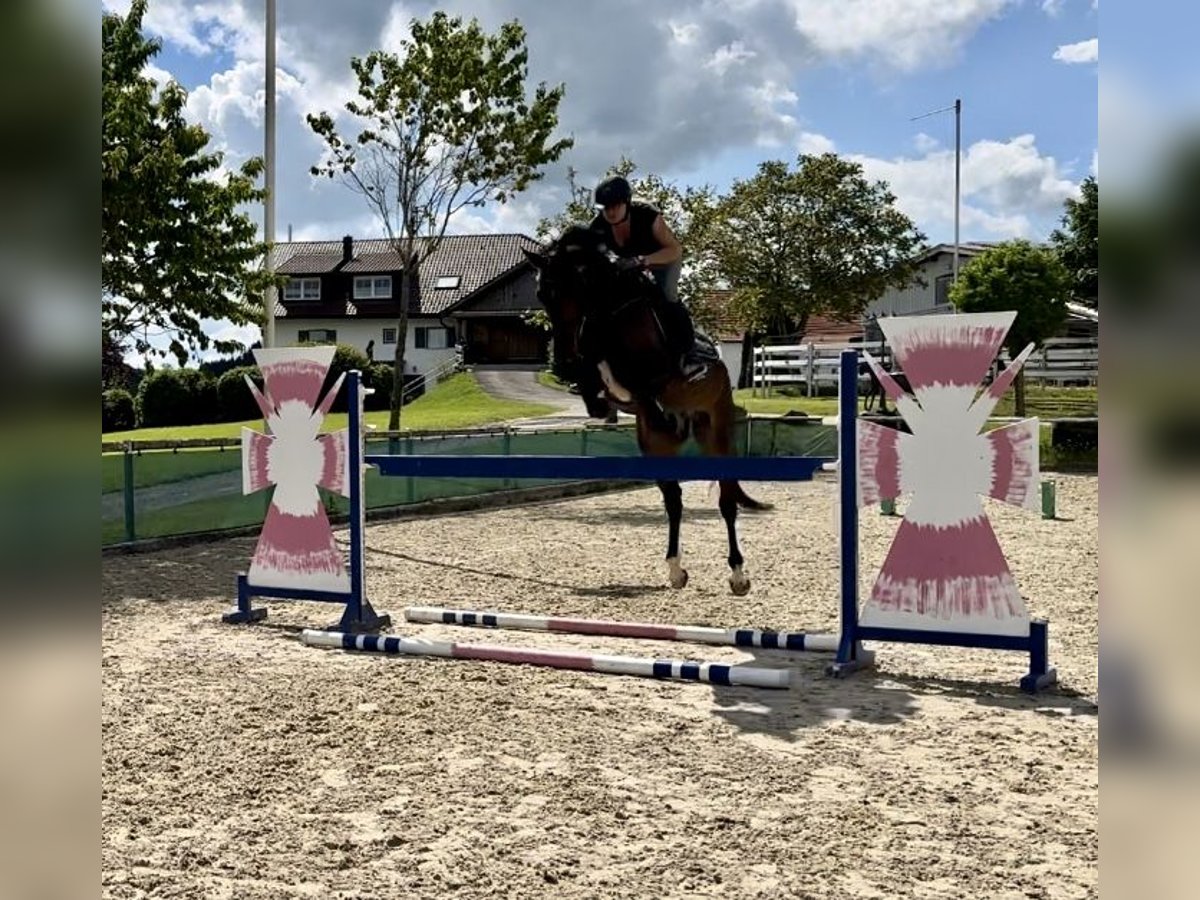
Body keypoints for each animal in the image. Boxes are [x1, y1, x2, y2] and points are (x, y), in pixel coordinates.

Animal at [523, 224, 768, 600]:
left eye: (572, 288)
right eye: (542, 294)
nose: (561, 359)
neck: (606, 312)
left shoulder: (652, 375)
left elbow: (636, 382)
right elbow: (595, 383)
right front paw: (591, 390)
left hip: (716, 430)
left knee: (726, 500)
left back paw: (738, 575)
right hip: (655, 446)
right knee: (674, 500)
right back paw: (676, 570)